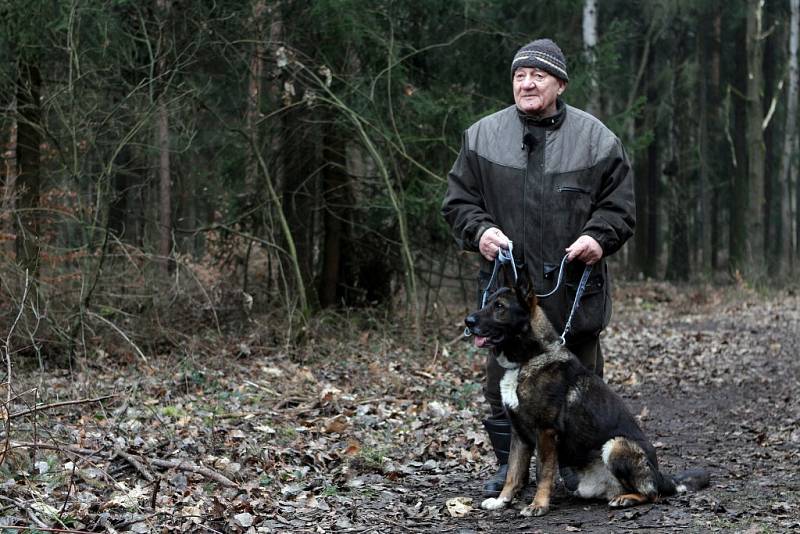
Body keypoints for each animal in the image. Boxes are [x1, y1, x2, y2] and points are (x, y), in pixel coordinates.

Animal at [466, 274, 708, 516]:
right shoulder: (519, 435)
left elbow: (543, 472)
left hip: (616, 445)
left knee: (652, 494)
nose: (468, 321)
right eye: (488, 302)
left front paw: (538, 505)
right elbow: (513, 474)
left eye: (499, 307)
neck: (529, 358)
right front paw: (502, 500)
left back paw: (626, 499)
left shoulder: (545, 433)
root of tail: (660, 476)